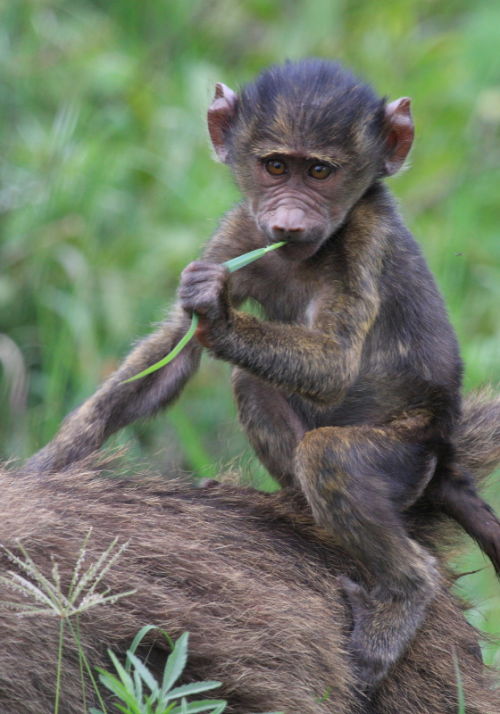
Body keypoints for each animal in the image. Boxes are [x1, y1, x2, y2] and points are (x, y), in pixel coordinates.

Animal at [24, 59, 500, 690]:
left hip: (407, 454)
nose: (290, 220)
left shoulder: (366, 237)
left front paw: (220, 314)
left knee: (331, 456)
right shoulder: (239, 232)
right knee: (251, 383)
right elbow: (173, 351)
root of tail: (444, 454)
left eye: (319, 171)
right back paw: (290, 509)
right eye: (276, 166)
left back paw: (403, 593)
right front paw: (44, 469)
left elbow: (333, 363)